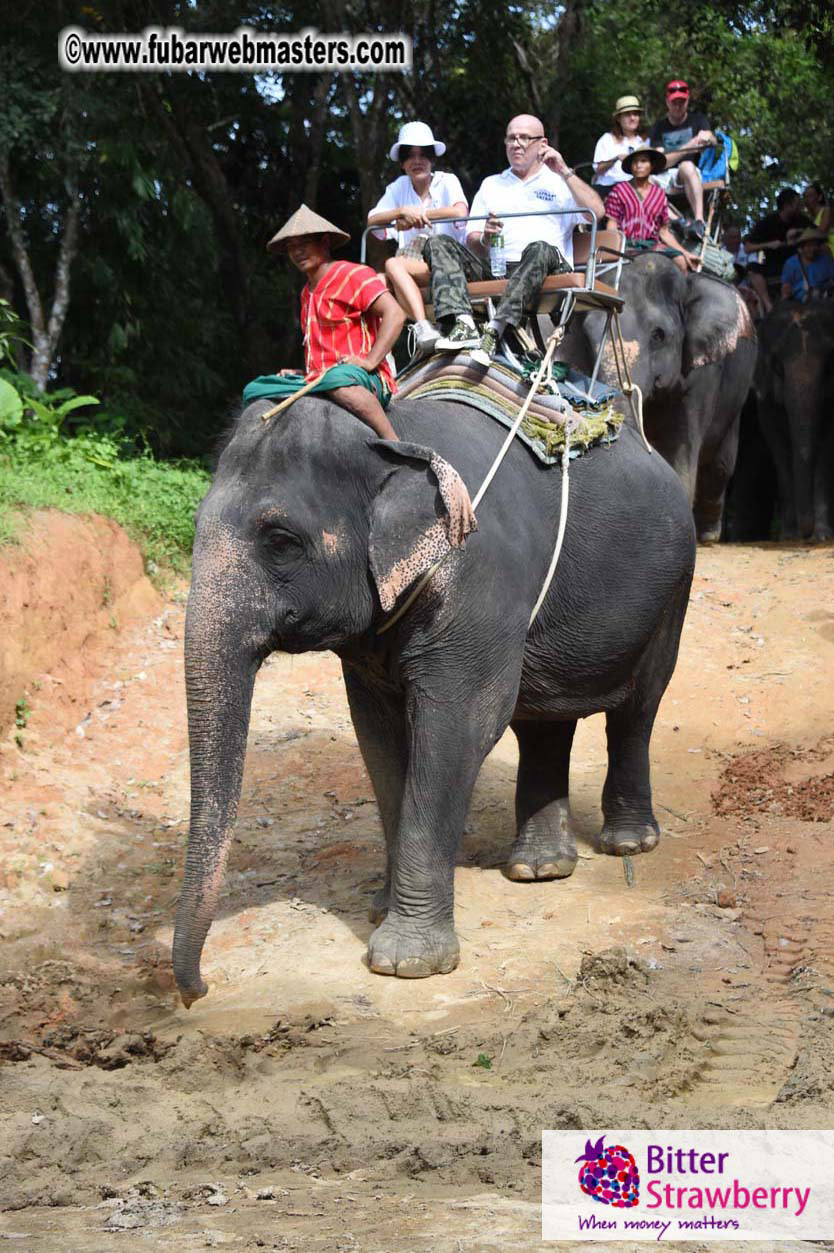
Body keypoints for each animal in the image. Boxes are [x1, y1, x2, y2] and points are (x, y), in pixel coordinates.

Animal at [173, 391, 695, 1007]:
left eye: (280, 541)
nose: (199, 991)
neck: (391, 438)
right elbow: (379, 738)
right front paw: (381, 912)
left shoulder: (476, 586)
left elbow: (457, 728)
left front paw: (406, 963)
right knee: (544, 721)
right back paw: (539, 869)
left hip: (673, 591)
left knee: (638, 709)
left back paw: (628, 845)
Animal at [556, 253, 757, 542]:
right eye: (589, 334)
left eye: (658, 335)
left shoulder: (703, 375)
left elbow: (680, 449)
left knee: (721, 465)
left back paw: (708, 536)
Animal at [754, 300, 834, 541]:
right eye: (778, 366)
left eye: (828, 367)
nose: (805, 535)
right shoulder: (765, 397)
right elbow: (778, 446)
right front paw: (789, 537)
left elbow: (826, 447)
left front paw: (822, 537)